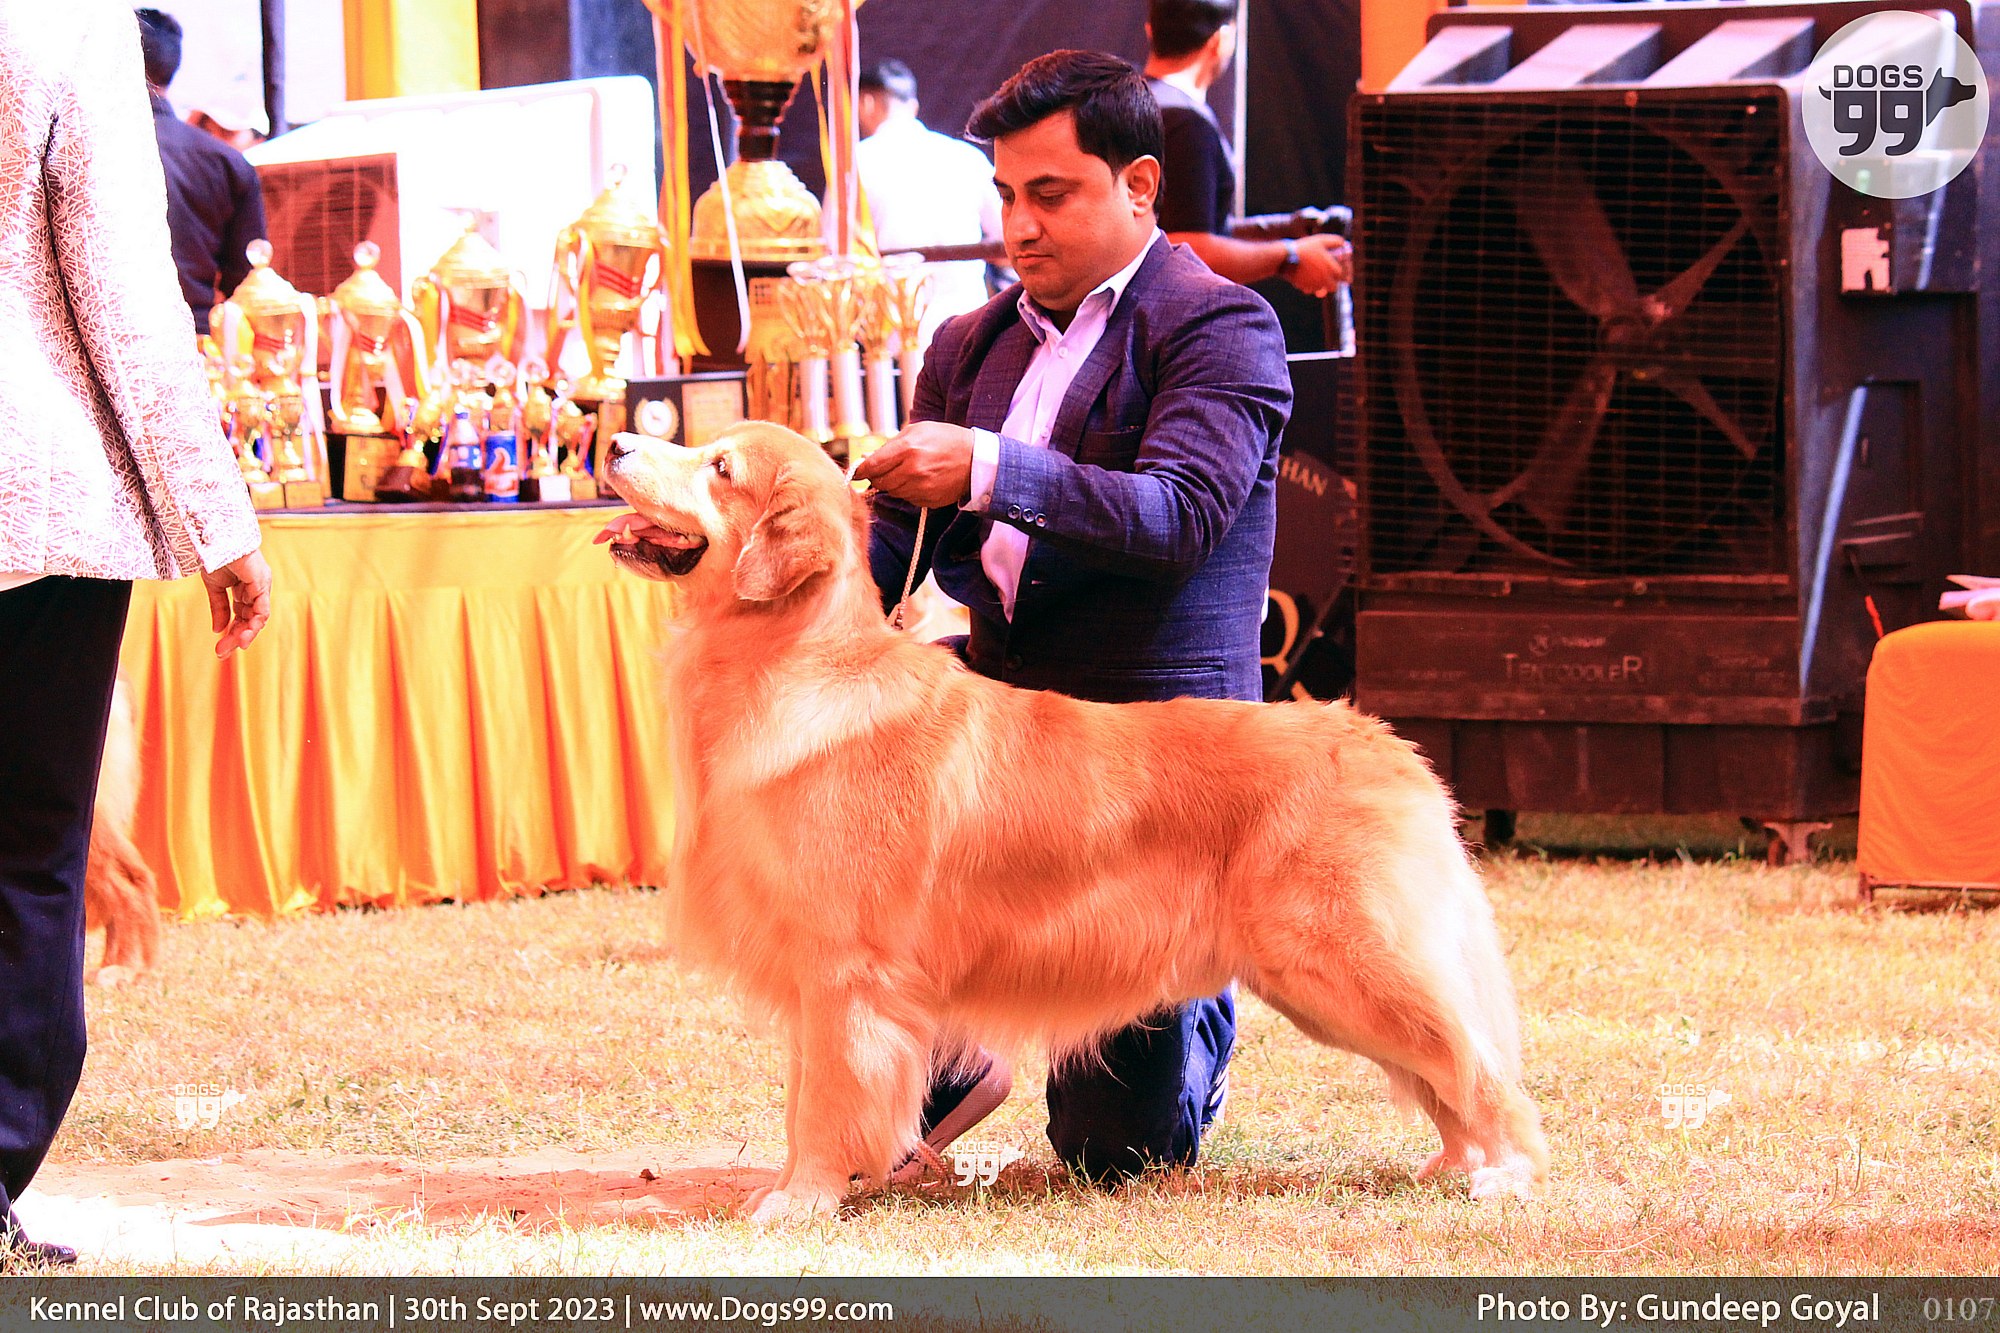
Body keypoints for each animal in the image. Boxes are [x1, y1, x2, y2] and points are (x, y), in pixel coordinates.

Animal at [599, 421, 1548, 1222]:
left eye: (720, 468)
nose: (612, 441)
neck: (792, 663)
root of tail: (1384, 740)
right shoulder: (816, 972)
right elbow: (804, 1097)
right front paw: (797, 1189)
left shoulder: (845, 970)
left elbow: (825, 1101)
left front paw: (803, 1201)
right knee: (1443, 1067)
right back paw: (1457, 1162)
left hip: (1345, 960)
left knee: (1476, 1062)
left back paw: (1505, 1173)